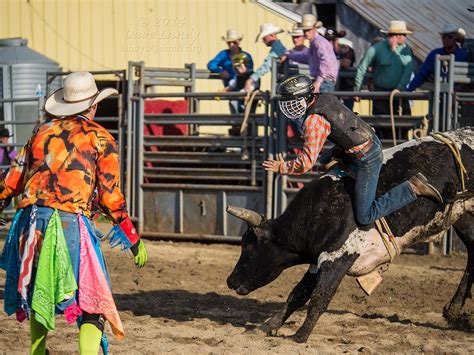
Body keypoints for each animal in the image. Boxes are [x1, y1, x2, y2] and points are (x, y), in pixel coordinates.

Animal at [226, 128, 474, 342]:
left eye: (247, 247)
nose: (230, 280)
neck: (321, 210)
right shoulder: (319, 260)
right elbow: (297, 295)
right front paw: (268, 326)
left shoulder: (338, 257)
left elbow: (320, 297)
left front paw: (300, 335)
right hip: (463, 217)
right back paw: (453, 312)